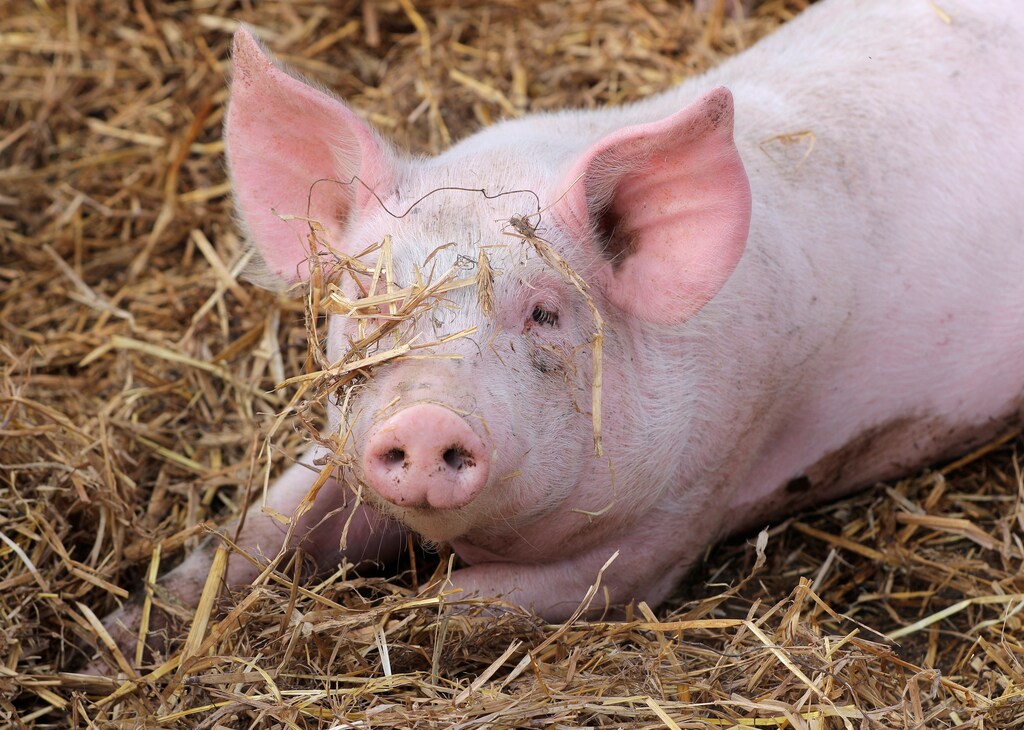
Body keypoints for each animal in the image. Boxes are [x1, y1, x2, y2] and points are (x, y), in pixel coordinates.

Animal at [92, 0, 1024, 670]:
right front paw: (108, 646)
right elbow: (259, 529)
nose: (424, 417)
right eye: (370, 299)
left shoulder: (680, 517)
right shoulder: (336, 450)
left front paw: (376, 627)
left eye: (544, 311)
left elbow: (468, 604)